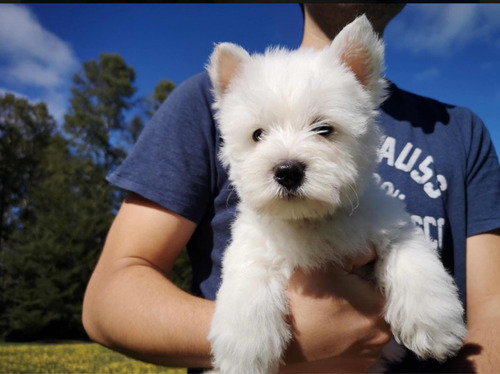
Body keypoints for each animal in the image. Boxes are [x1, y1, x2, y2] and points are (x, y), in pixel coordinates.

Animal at [205, 14, 466, 374]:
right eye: (258, 134)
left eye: (324, 129)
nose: (287, 171)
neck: (311, 219)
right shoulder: (253, 245)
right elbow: (247, 281)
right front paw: (244, 351)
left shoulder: (392, 228)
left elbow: (414, 261)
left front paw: (434, 324)